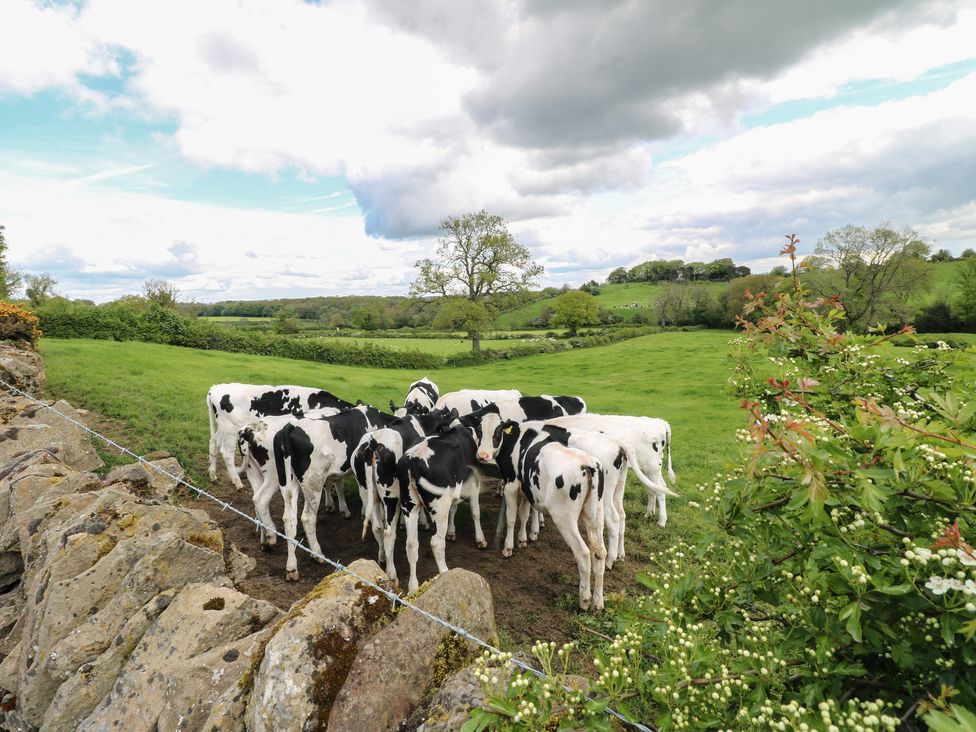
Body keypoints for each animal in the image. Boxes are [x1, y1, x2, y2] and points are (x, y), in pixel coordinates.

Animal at [207, 383, 355, 489]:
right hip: (230, 430)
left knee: (214, 444)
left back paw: (213, 476)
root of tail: (216, 388)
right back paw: (238, 483)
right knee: (226, 453)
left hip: (222, 429)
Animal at [354, 408, 459, 585]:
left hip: (366, 491)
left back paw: (382, 557)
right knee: (389, 532)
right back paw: (392, 574)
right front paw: (422, 522)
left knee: (377, 526)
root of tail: (371, 444)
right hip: (391, 495)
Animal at [487, 419, 608, 611]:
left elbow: (511, 517)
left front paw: (508, 548)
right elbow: (524, 514)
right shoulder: (527, 490)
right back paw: (597, 602)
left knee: (583, 552)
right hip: (595, 515)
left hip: (564, 518)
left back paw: (584, 600)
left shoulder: (511, 485)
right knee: (600, 552)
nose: (482, 455)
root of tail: (588, 463)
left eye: (497, 434)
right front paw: (523, 540)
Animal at [547, 414, 676, 526]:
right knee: (652, 488)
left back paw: (661, 521)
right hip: (645, 469)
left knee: (660, 489)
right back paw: (649, 514)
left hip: (652, 468)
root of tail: (659, 422)